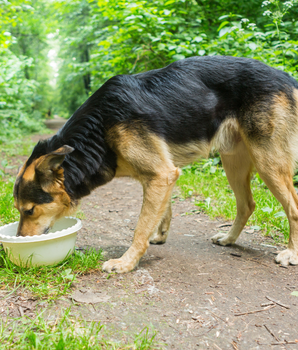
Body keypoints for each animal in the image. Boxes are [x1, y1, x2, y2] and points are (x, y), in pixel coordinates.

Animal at [13, 56, 298, 272]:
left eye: (29, 211)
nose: (18, 241)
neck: (100, 127)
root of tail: (287, 77)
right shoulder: (159, 175)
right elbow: (162, 212)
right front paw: (159, 236)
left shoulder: (161, 175)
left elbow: (140, 228)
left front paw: (126, 262)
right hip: (234, 162)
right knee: (247, 204)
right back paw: (229, 239)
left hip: (268, 162)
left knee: (292, 207)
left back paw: (291, 253)